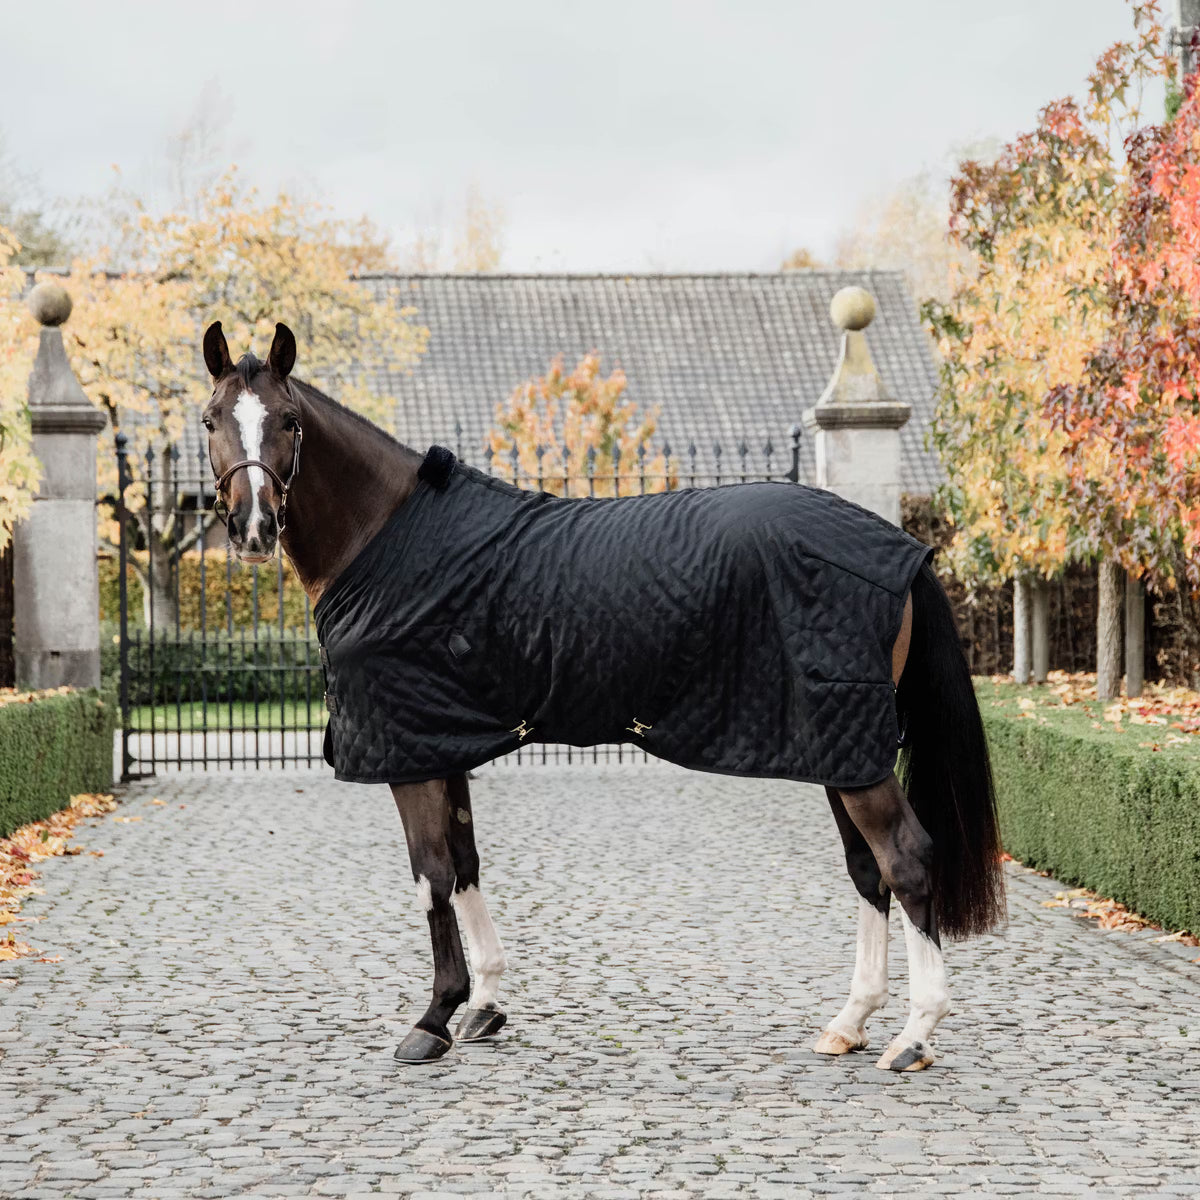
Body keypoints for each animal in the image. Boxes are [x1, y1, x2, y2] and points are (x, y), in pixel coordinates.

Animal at [200, 320, 1005, 1071]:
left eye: (289, 419)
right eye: (211, 419)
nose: (252, 526)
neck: (388, 538)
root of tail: (902, 550)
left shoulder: (410, 750)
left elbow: (431, 875)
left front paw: (433, 1019)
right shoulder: (443, 739)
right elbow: (466, 864)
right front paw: (486, 1004)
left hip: (854, 750)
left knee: (906, 861)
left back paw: (914, 1035)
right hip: (839, 746)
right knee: (869, 871)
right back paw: (850, 1022)